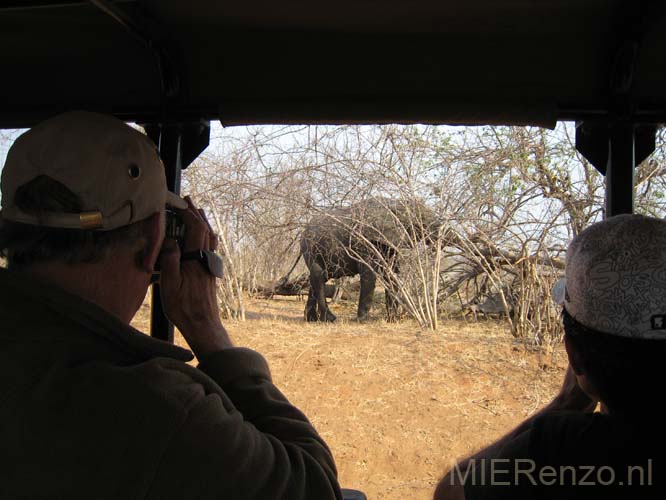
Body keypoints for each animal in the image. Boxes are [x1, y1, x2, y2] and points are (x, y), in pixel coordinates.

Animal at [300, 197, 436, 322]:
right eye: (422, 221)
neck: (392, 203)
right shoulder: (365, 242)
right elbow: (369, 275)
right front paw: (362, 320)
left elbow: (392, 274)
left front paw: (393, 320)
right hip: (310, 249)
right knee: (318, 276)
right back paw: (330, 319)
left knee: (318, 278)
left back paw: (311, 319)